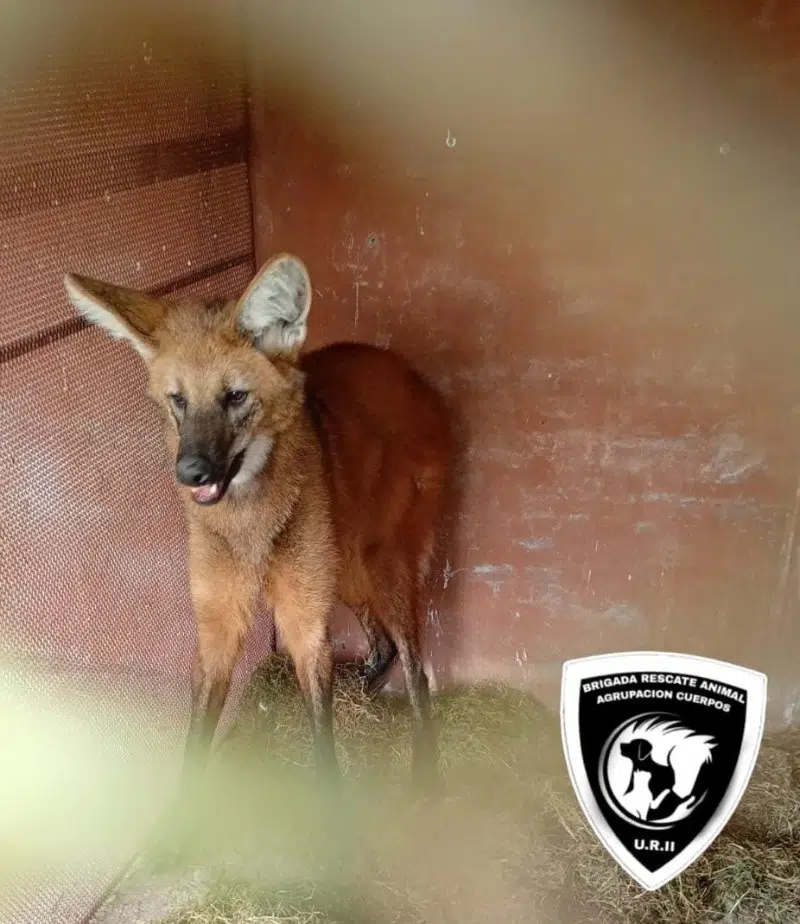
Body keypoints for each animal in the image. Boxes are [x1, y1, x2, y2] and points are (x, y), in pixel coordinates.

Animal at [63, 253, 457, 791]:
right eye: (178, 400)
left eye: (234, 396)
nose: (190, 472)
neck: (249, 527)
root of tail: (408, 370)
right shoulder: (217, 620)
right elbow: (196, 740)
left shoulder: (303, 618)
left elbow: (322, 738)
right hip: (345, 565)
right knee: (383, 644)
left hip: (377, 561)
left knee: (414, 665)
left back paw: (426, 775)